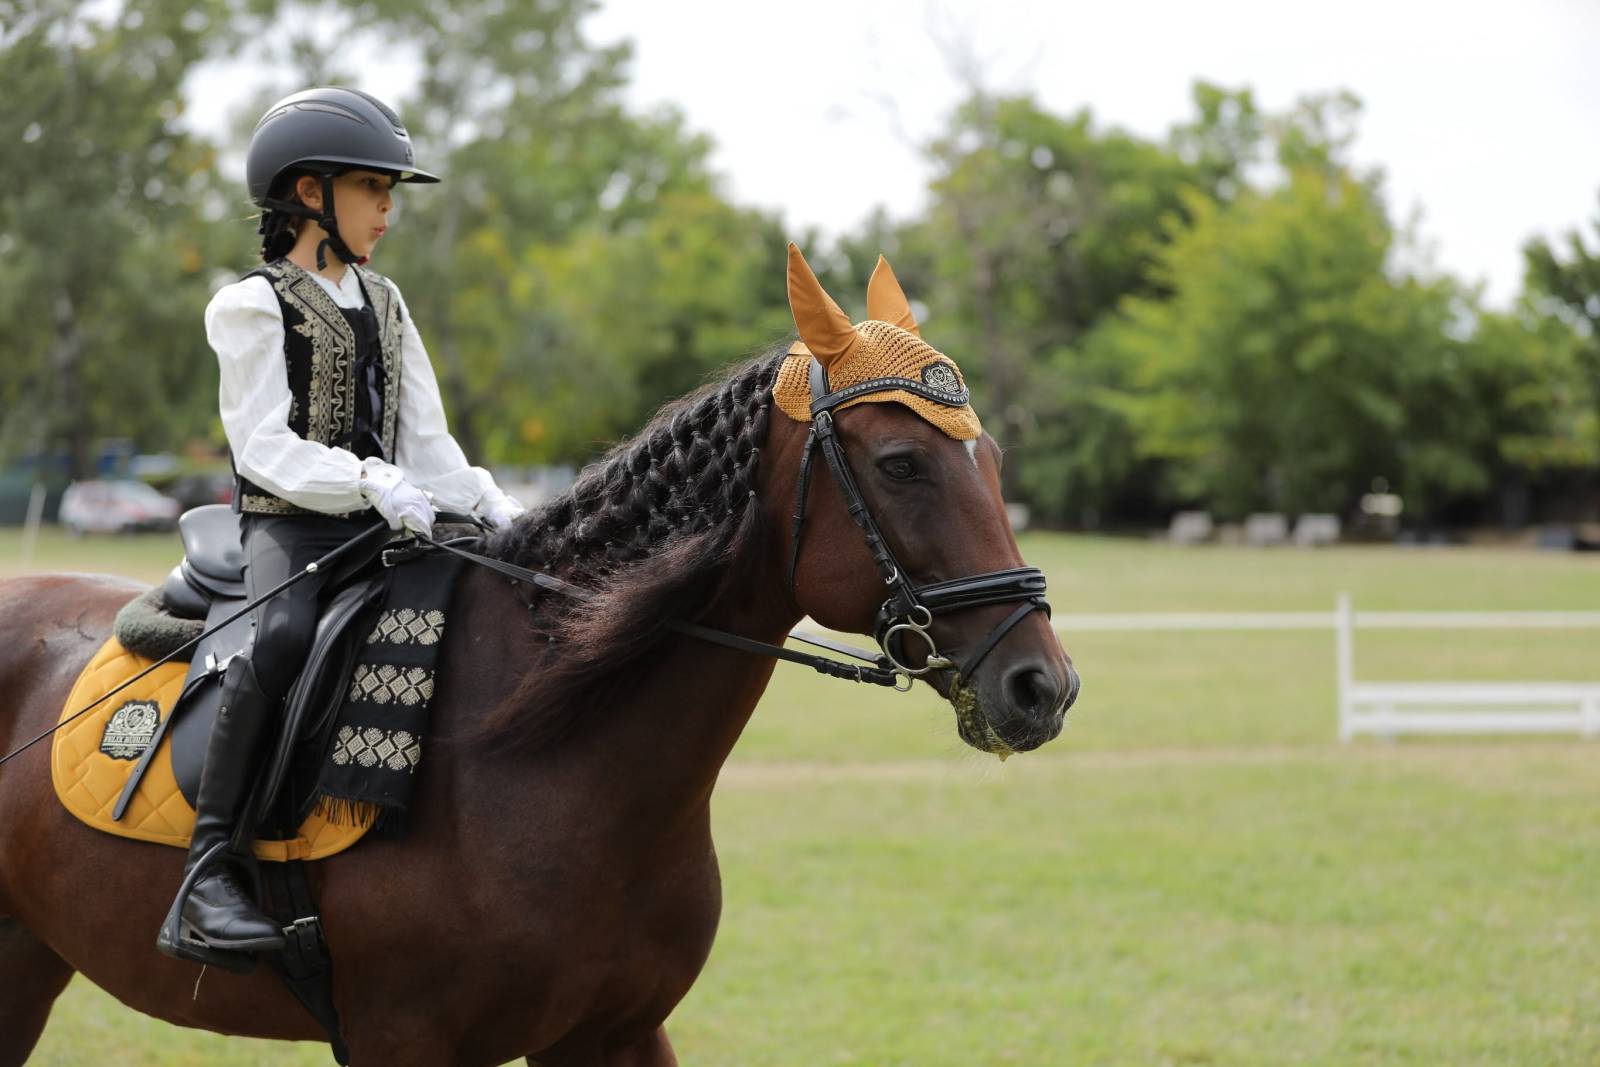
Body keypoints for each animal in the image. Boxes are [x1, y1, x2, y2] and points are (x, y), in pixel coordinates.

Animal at [0, 245, 1076, 1066]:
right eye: (900, 463)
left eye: (990, 459)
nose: (1043, 685)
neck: (532, 754)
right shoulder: (407, 1044)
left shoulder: (615, 1031)